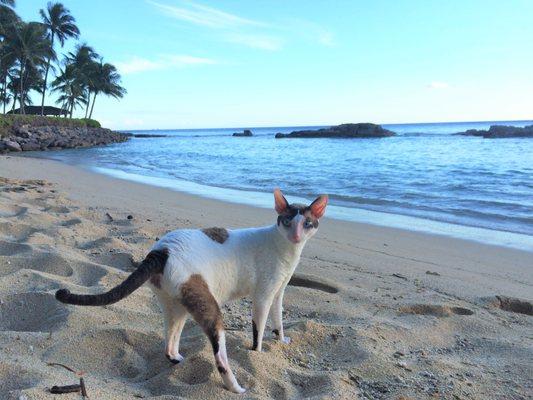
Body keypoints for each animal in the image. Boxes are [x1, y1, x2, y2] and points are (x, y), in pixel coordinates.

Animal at [56, 188, 326, 394]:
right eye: (288, 221)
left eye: (307, 223)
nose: (296, 236)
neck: (287, 250)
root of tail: (161, 250)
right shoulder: (263, 296)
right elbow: (258, 334)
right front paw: (258, 355)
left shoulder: (278, 293)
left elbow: (278, 320)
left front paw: (281, 339)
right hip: (209, 307)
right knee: (219, 357)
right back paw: (236, 387)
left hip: (176, 306)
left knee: (169, 343)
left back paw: (177, 358)